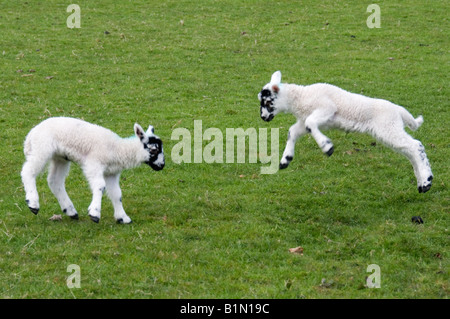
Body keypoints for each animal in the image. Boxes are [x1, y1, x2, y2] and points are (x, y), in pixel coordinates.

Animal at [21, 116, 165, 224]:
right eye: (154, 149)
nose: (162, 165)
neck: (117, 149)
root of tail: (31, 134)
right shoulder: (93, 164)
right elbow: (100, 186)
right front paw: (94, 213)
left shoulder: (111, 173)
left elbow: (117, 194)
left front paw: (122, 217)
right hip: (42, 148)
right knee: (27, 171)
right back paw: (33, 203)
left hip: (60, 157)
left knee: (54, 181)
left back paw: (70, 210)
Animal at [260, 71, 432, 194]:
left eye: (268, 102)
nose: (263, 117)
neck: (300, 97)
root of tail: (398, 110)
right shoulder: (305, 120)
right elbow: (293, 131)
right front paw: (285, 160)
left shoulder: (327, 108)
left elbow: (310, 124)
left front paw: (327, 147)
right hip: (390, 129)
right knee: (410, 152)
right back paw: (421, 183)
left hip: (388, 126)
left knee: (416, 145)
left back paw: (426, 182)